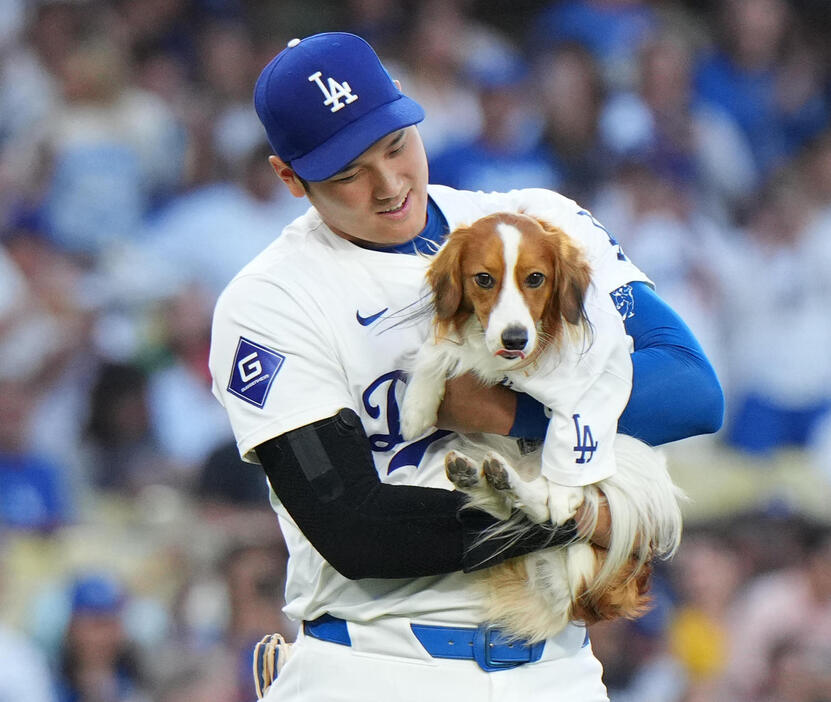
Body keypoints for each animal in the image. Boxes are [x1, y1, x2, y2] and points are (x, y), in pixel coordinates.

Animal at [402, 213, 684, 644]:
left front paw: (565, 490)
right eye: (483, 279)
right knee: (507, 507)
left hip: (629, 461)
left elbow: (576, 431)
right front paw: (416, 406)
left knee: (545, 510)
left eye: (535, 278)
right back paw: (482, 477)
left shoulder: (602, 377)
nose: (514, 338)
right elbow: (439, 351)